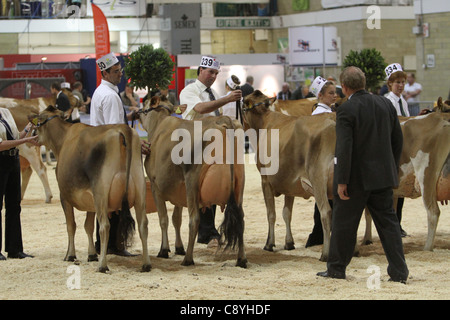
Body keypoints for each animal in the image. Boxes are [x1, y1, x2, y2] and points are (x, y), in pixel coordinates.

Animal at [29, 106, 151, 272]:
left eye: (38, 122)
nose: (32, 136)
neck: (63, 139)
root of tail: (123, 128)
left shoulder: (64, 196)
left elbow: (71, 226)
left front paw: (70, 255)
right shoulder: (90, 199)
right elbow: (88, 226)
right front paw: (92, 255)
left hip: (101, 190)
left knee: (105, 226)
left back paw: (102, 266)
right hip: (139, 188)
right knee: (143, 224)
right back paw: (146, 264)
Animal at [140, 95, 248, 268]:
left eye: (144, 106)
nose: (135, 114)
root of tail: (223, 120)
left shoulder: (156, 186)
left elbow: (163, 219)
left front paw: (164, 250)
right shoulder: (178, 189)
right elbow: (176, 219)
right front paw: (178, 247)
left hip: (192, 180)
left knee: (194, 219)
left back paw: (188, 259)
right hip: (239, 182)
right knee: (241, 219)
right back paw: (241, 259)